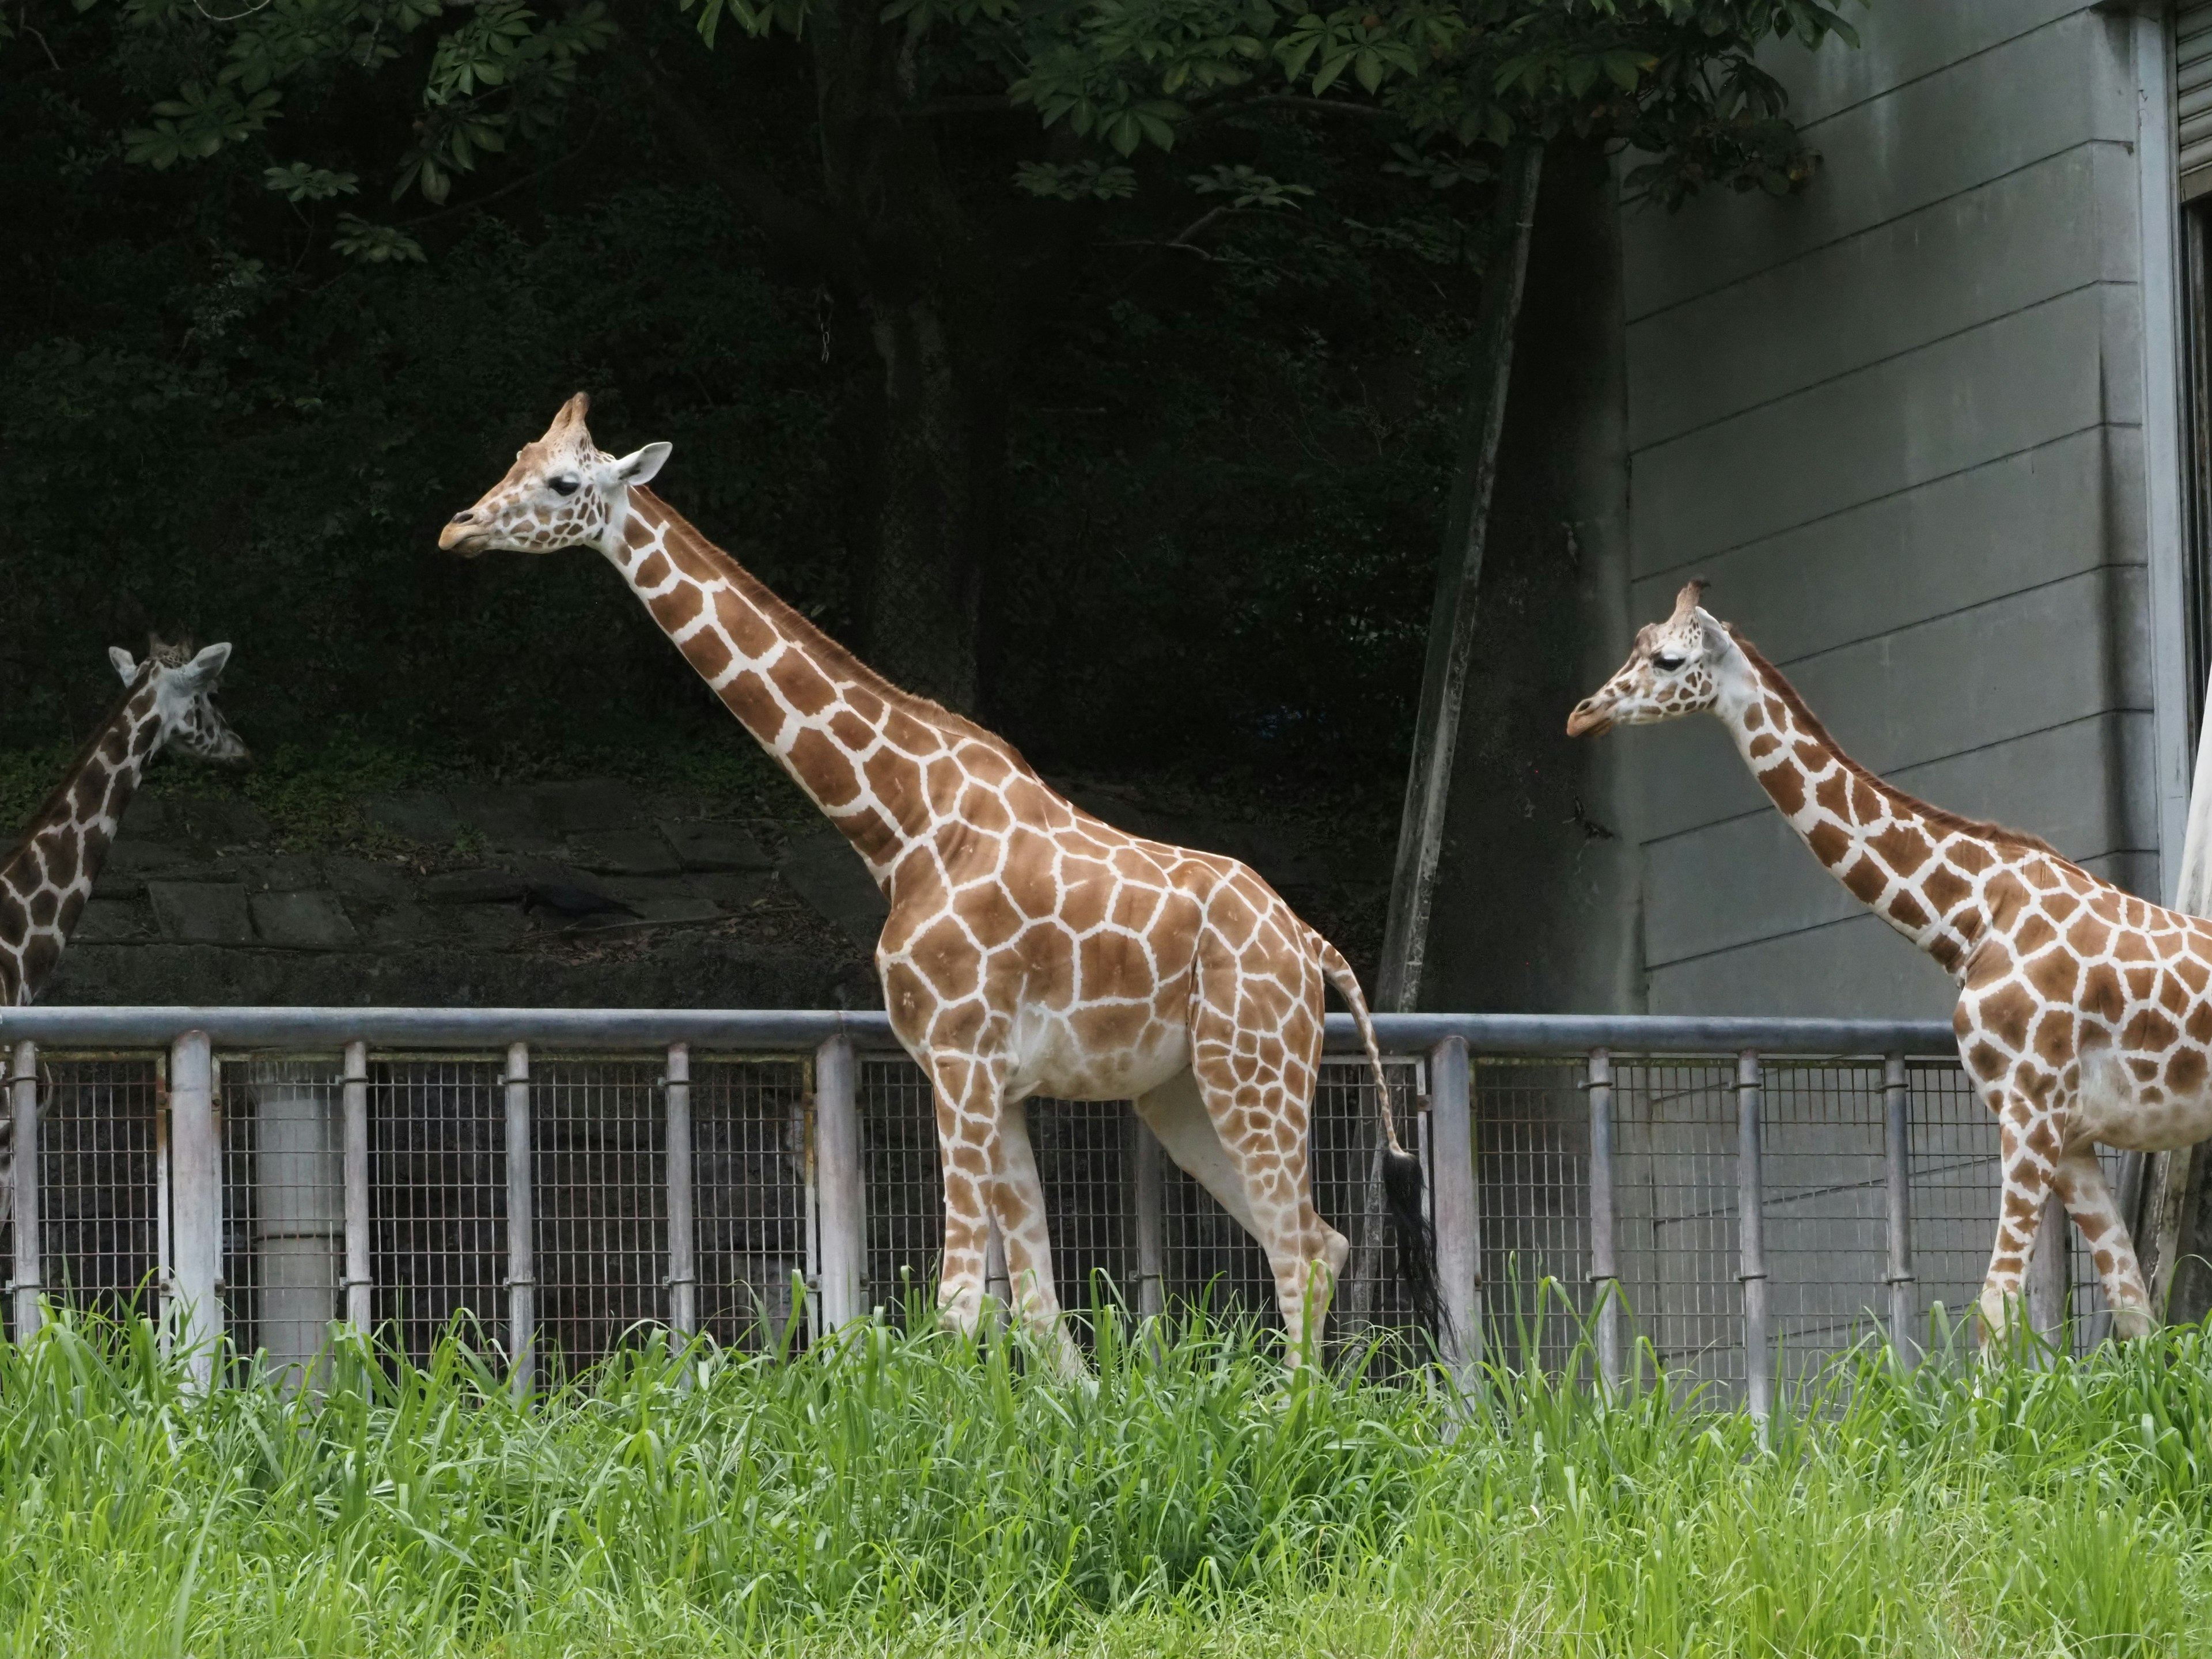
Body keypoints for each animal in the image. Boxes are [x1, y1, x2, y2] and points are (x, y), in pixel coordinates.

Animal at [440, 396, 1442, 1371]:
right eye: (517, 458)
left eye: (564, 481)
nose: (458, 529)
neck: (903, 825)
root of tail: (1312, 945)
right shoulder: (994, 1079)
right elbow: (1035, 1309)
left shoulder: (961, 1058)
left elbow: (960, 1303)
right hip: (1182, 1093)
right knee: (1321, 1240)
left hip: (1253, 1068)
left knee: (1300, 1248)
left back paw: (1288, 1413)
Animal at [1575, 579, 2212, 1344]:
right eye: (1634, 645)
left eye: (1668, 660)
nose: (1583, 715)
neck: (1970, 917)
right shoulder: (2069, 1134)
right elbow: (2138, 1317)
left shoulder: (2032, 1109)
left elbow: (1996, 1309)